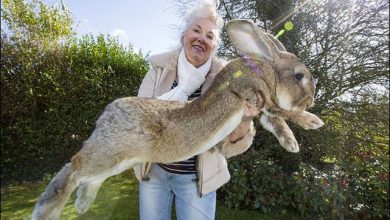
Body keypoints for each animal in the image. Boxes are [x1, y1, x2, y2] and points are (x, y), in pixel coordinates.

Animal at [31, 19, 322, 219]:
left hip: (116, 161)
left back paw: (81, 204)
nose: (312, 99)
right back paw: (48, 211)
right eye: (299, 76)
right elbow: (284, 112)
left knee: (86, 176)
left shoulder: (262, 109)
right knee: (75, 167)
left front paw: (292, 144)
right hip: (110, 153)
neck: (266, 70)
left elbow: (276, 122)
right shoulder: (258, 95)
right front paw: (313, 121)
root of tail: (106, 116)